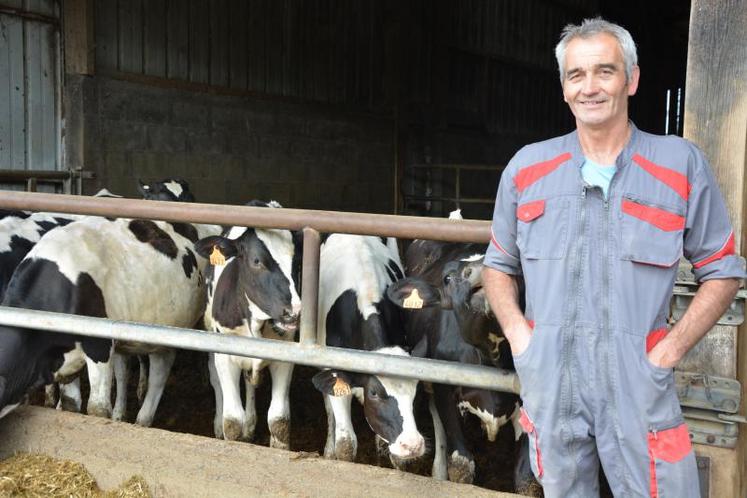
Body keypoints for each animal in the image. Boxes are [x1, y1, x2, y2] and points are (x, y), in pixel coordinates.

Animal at [193, 200, 304, 450]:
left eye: (299, 263)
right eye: (256, 261)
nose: (293, 312)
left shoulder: (285, 357)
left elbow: (279, 420)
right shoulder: (225, 355)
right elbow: (233, 420)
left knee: (251, 383)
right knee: (216, 380)